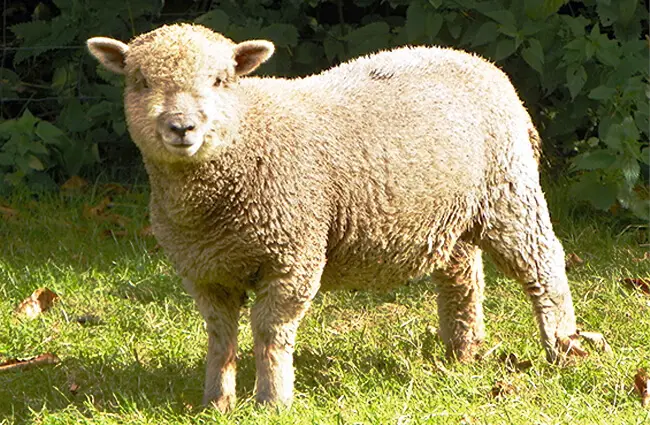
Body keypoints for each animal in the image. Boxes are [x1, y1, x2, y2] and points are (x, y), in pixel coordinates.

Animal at [87, 23, 580, 411]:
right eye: (140, 81)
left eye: (221, 79)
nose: (182, 127)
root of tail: (481, 63)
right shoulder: (206, 271)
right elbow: (220, 336)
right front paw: (216, 401)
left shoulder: (294, 254)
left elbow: (270, 330)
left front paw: (272, 401)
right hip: (449, 212)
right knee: (462, 274)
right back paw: (463, 350)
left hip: (509, 191)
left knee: (544, 265)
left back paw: (561, 346)